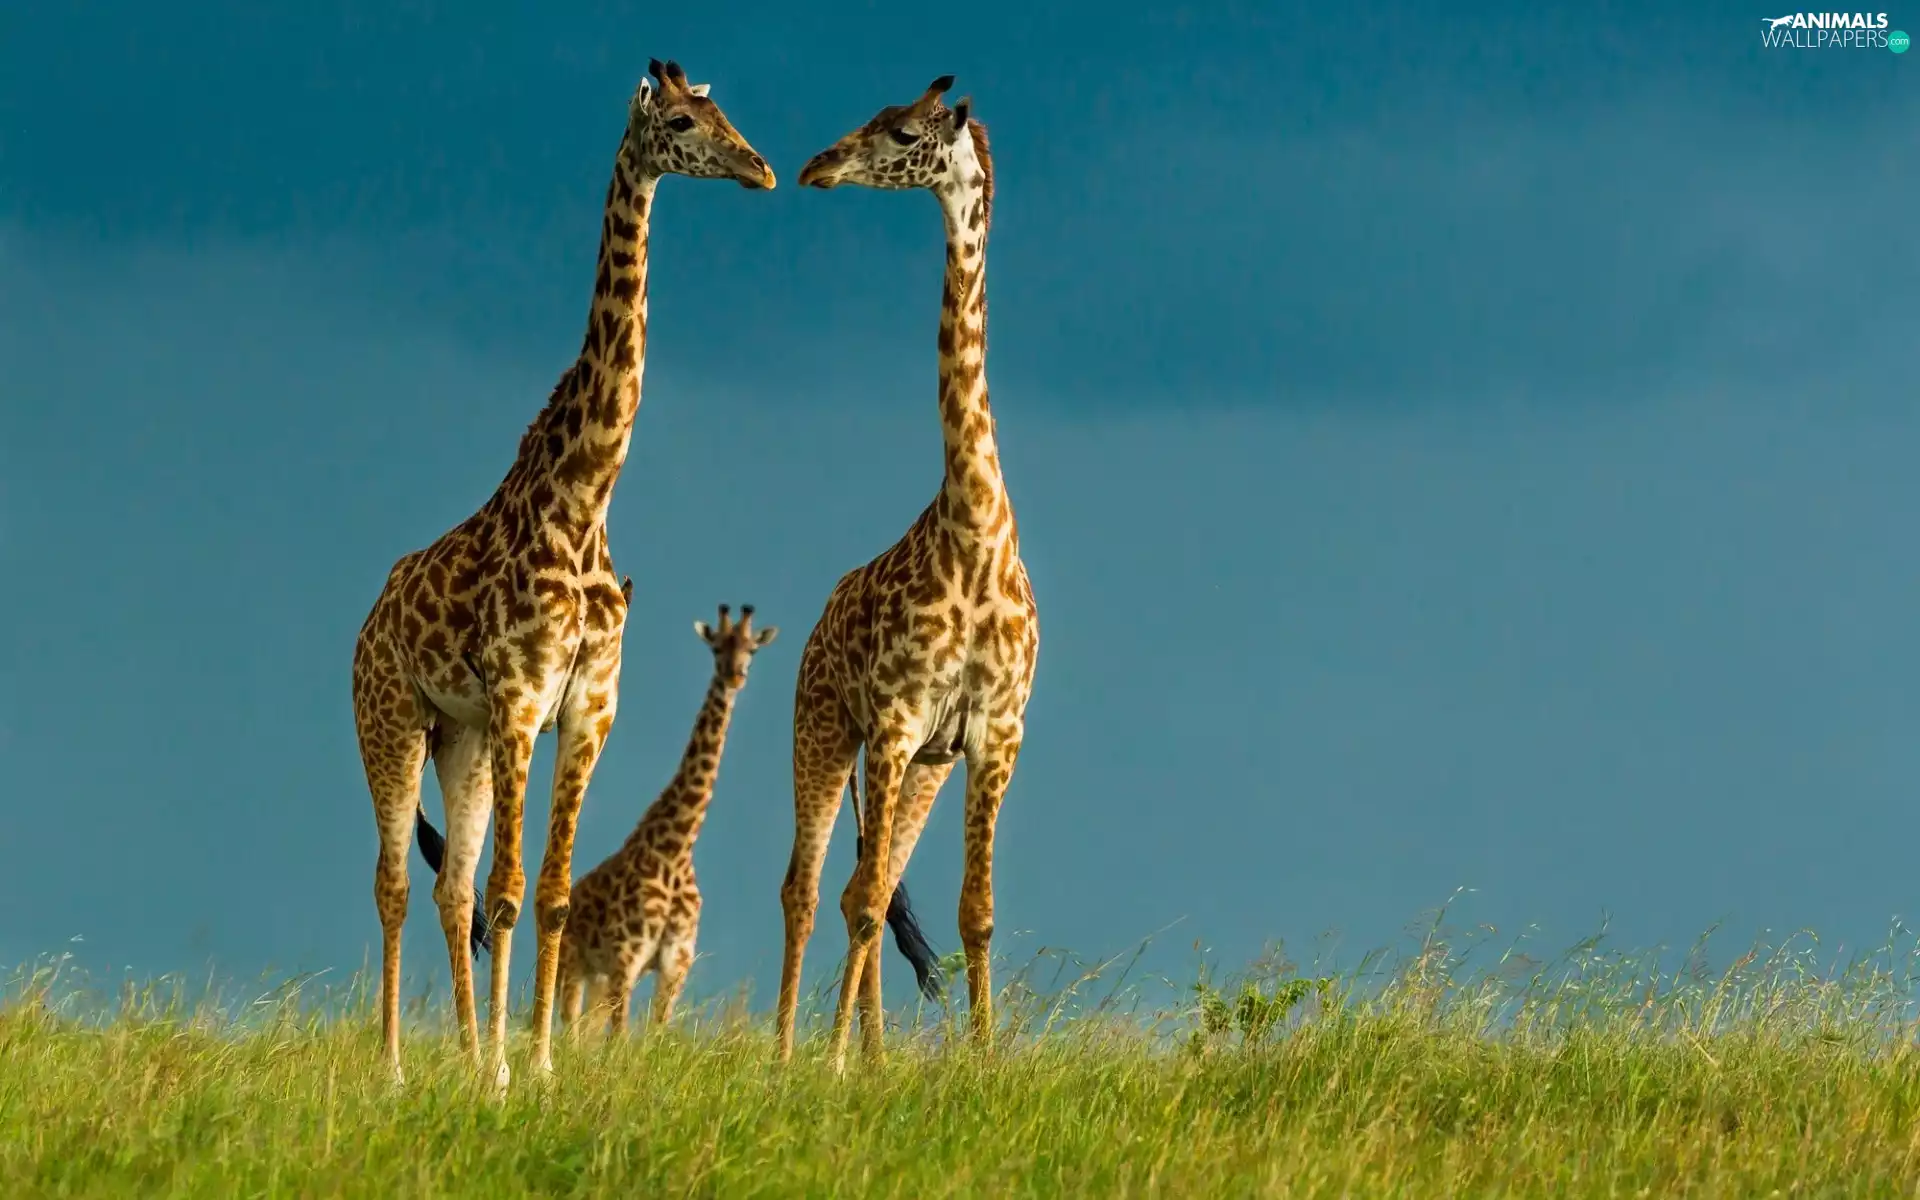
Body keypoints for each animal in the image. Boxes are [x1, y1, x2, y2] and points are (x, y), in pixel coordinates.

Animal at [555, 604, 777, 1036]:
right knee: (571, 1027)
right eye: (717, 647)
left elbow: (656, 1032)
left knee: (585, 1031)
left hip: (598, 975)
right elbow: (621, 1036)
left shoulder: (675, 963)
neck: (675, 848)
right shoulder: (628, 956)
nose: (735, 677)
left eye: (752, 650)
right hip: (574, 964)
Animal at [777, 76, 1039, 1070]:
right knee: (814, 889)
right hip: (822, 729)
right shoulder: (889, 722)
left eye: (900, 131)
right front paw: (836, 1063)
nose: (817, 165)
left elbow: (977, 912)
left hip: (923, 761)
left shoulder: (993, 734)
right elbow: (855, 906)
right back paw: (798, 1053)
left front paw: (985, 1059)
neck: (975, 531)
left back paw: (872, 1054)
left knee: (875, 882)